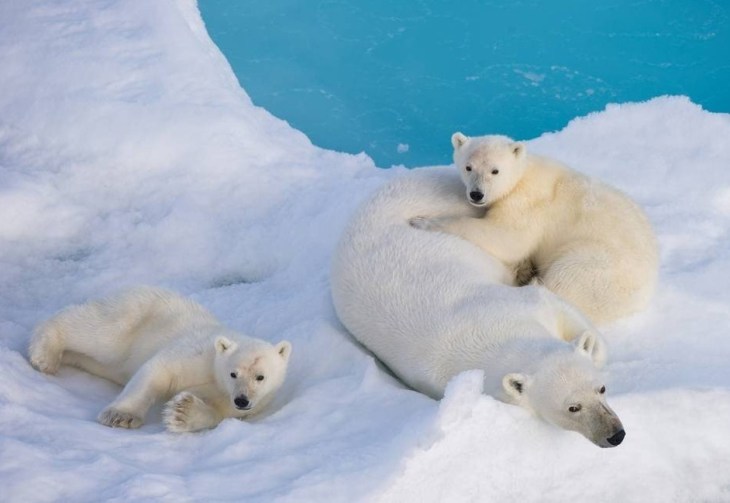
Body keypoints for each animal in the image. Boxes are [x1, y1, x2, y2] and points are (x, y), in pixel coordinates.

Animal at [28, 286, 292, 433]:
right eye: (233, 373)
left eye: (260, 377)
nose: (242, 400)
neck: (215, 376)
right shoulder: (196, 352)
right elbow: (158, 370)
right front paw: (121, 416)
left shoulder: (230, 402)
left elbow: (215, 413)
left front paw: (182, 412)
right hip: (133, 316)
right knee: (97, 333)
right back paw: (45, 354)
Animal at [331, 168, 625, 447]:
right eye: (572, 407)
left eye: (601, 389)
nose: (616, 435)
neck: (495, 330)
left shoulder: (524, 303)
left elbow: (561, 308)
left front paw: (590, 344)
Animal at [410, 133, 659, 325]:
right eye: (468, 167)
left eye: (495, 171)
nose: (476, 194)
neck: (523, 173)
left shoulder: (528, 202)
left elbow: (508, 238)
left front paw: (422, 221)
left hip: (596, 264)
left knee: (565, 279)